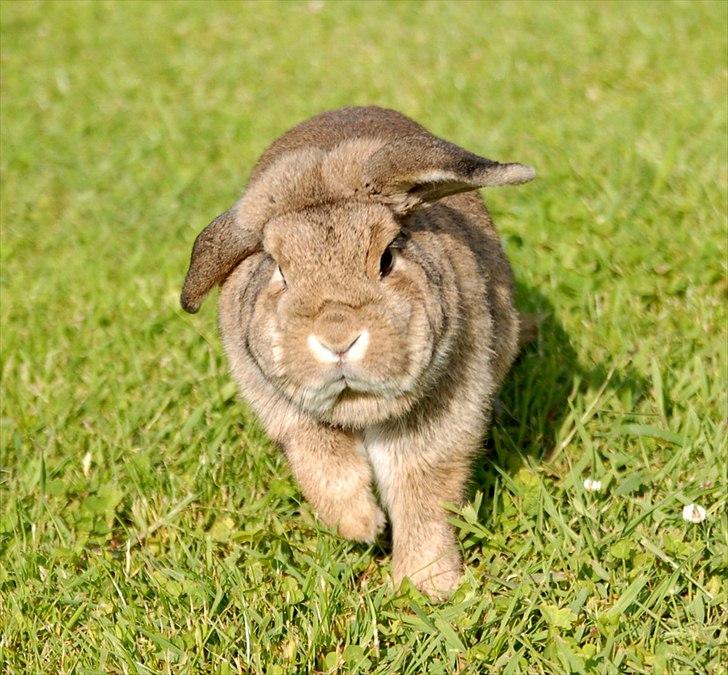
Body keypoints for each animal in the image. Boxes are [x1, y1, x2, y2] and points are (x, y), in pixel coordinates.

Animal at [182, 107, 536, 604]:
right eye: (279, 270)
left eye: (386, 258)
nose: (337, 337)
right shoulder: (288, 414)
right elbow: (325, 466)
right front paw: (361, 527)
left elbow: (422, 498)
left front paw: (426, 588)